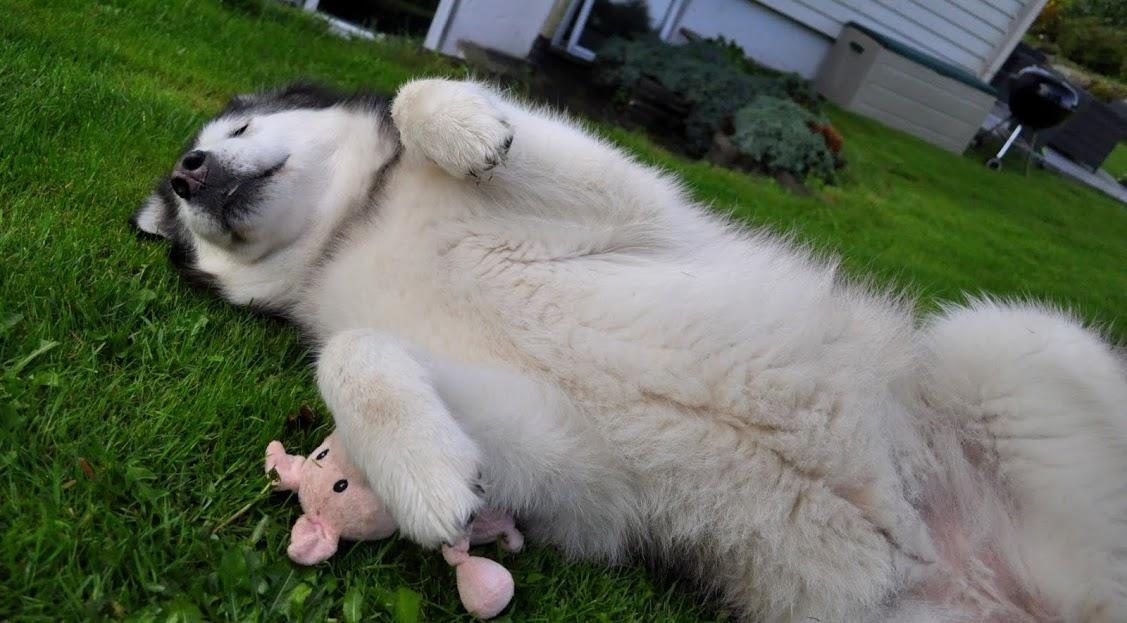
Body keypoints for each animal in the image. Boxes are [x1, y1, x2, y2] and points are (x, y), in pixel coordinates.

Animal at [134, 79, 1127, 622]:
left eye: (231, 132)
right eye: (182, 193)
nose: (187, 173)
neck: (357, 229)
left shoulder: (628, 208)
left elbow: (419, 92)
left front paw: (466, 129)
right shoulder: (563, 442)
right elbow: (353, 355)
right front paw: (425, 476)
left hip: (1006, 340)